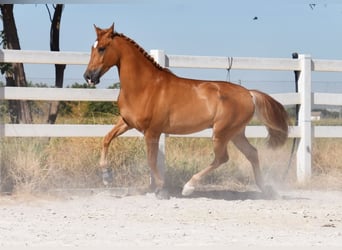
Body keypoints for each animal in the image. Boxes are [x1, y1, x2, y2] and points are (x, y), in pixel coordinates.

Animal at [83, 23, 288, 199]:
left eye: (102, 48)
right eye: (92, 48)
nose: (88, 77)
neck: (145, 86)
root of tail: (249, 94)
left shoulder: (152, 132)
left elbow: (151, 160)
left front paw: (161, 189)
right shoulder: (127, 122)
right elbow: (106, 138)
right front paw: (106, 176)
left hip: (222, 133)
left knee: (222, 158)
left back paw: (189, 187)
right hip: (236, 133)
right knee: (252, 153)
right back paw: (266, 189)